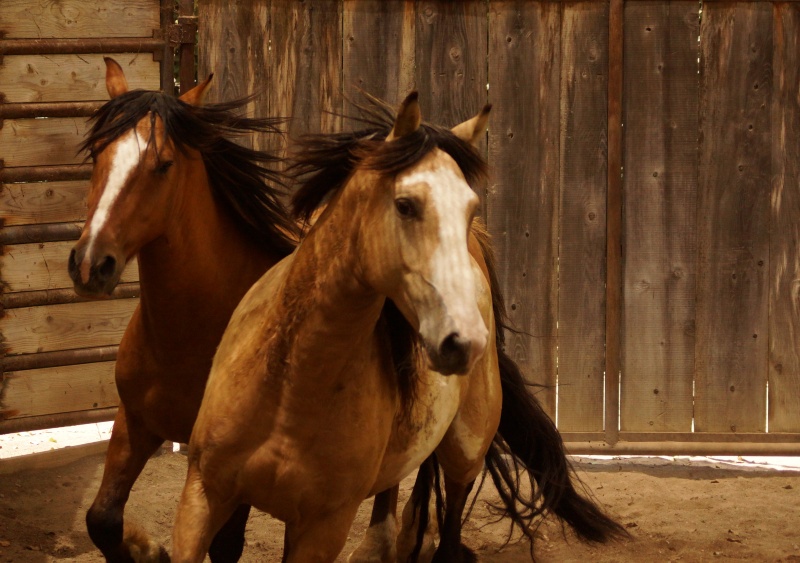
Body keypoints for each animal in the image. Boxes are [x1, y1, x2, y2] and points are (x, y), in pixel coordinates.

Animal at [68, 57, 301, 562]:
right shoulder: (135, 423)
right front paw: (148, 549)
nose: (91, 264)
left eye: (164, 165)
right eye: (96, 153)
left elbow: (227, 545)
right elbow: (102, 520)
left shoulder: (229, 469)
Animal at [170, 93, 625, 562]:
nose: (466, 341)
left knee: (451, 510)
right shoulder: (203, 495)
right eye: (406, 205)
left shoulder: (321, 530)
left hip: (465, 449)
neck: (288, 392)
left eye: (470, 208)